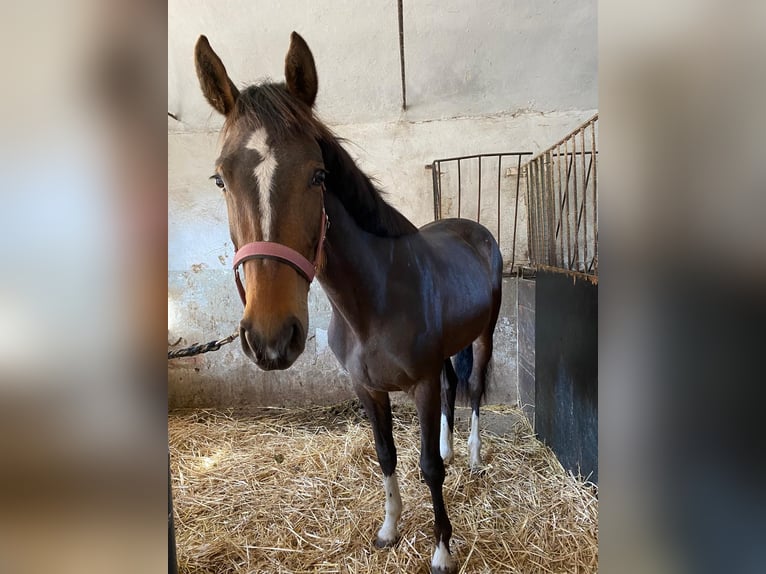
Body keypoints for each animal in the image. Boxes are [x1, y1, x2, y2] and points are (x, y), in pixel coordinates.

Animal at [194, 32, 503, 574]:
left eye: (318, 175)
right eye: (220, 179)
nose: (271, 338)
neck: (373, 305)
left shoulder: (420, 385)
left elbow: (428, 467)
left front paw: (442, 549)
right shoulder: (367, 388)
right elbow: (386, 456)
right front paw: (388, 530)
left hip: (483, 337)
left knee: (474, 390)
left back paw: (472, 456)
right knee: (453, 388)